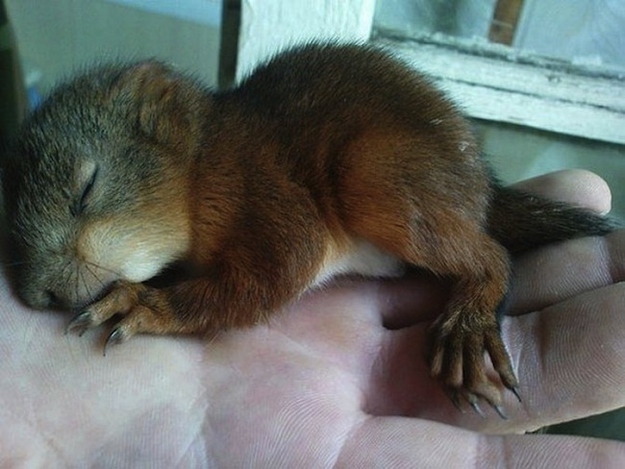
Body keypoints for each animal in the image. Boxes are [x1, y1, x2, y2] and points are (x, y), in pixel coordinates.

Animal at [1, 43, 616, 414]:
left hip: (377, 174)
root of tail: (482, 189)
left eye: (87, 188)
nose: (38, 295)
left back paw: (468, 318)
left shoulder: (262, 188)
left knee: (491, 256)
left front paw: (147, 303)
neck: (202, 164)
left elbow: (278, 268)